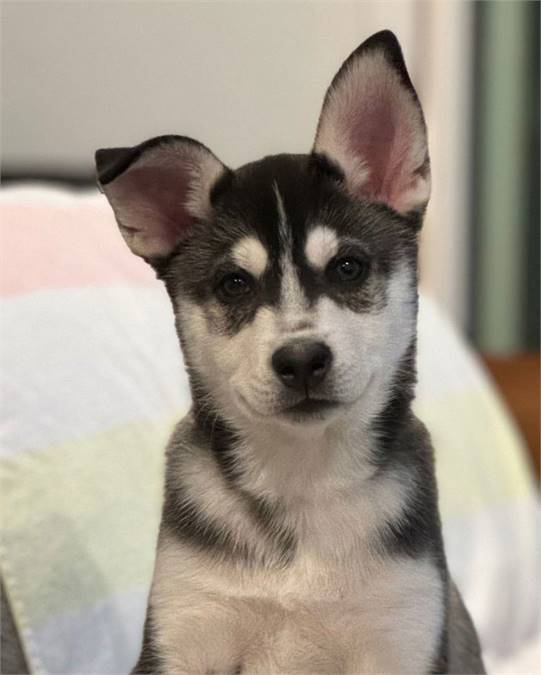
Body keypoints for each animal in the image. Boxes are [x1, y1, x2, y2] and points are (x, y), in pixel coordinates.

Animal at [95, 30, 484, 675]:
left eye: (348, 267)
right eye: (233, 284)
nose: (301, 360)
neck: (304, 484)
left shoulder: (401, 633)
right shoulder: (186, 629)